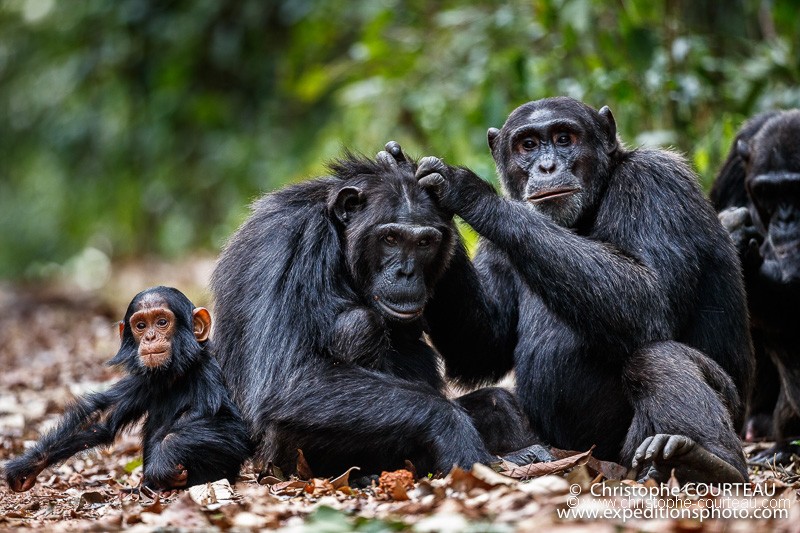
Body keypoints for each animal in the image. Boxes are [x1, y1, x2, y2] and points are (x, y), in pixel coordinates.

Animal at [3, 286, 250, 490]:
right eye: (140, 325)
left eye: (162, 322)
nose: (150, 336)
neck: (175, 375)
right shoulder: (141, 382)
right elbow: (103, 421)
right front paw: (29, 465)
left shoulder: (208, 376)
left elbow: (233, 429)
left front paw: (164, 457)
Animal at [211, 151, 544, 478]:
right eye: (391, 238)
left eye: (424, 242)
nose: (406, 272)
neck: (339, 236)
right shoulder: (293, 242)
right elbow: (286, 379)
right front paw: (454, 430)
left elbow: (477, 352)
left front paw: (443, 185)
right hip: (284, 459)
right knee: (360, 325)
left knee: (494, 396)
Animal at [390, 95, 752, 482]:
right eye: (528, 145)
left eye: (564, 139)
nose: (547, 166)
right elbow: (484, 346)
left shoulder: (655, 183)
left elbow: (649, 297)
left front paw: (465, 191)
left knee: (657, 358)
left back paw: (705, 461)